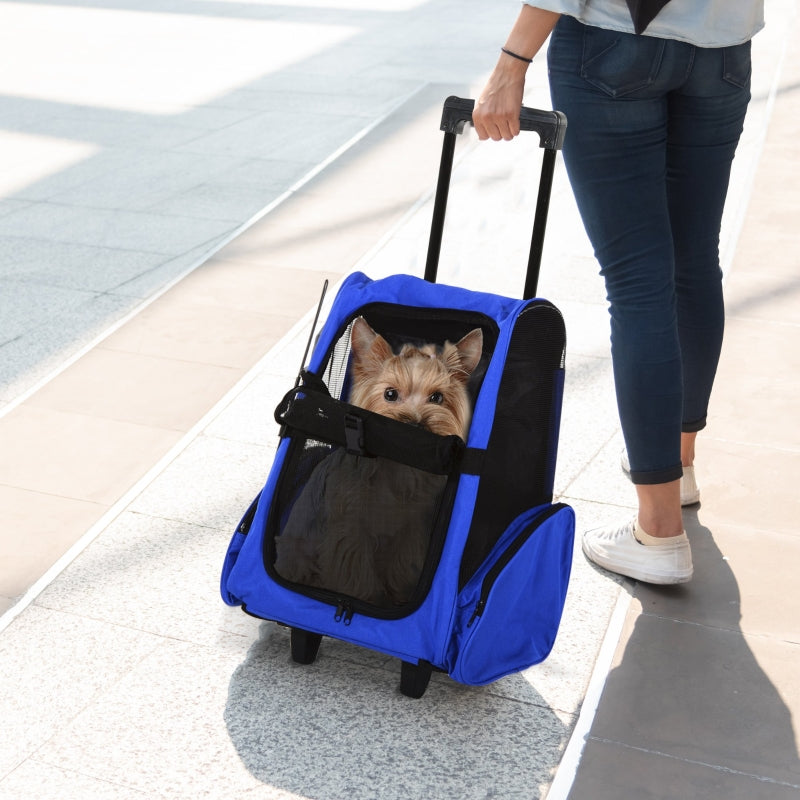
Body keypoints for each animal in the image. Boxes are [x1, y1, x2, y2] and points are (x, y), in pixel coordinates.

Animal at [272, 316, 484, 604]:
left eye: (437, 397)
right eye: (390, 394)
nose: (415, 424)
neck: (398, 465)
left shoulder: (409, 528)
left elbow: (401, 564)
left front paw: (397, 594)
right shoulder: (351, 529)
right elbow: (355, 573)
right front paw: (363, 597)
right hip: (297, 550)